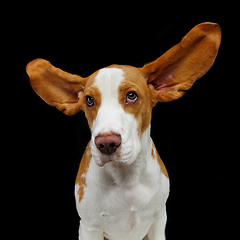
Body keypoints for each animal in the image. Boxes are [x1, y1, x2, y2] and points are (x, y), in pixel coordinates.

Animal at [26, 21, 221, 239]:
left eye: (131, 96)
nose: (106, 144)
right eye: (89, 100)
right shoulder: (89, 227)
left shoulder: (158, 219)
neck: (126, 179)